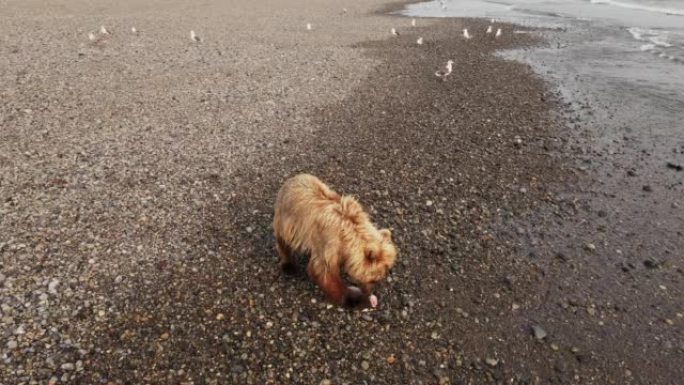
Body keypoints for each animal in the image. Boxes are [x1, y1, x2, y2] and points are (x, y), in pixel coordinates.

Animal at [276, 172, 398, 308]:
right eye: (373, 279)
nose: (370, 291)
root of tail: (293, 178)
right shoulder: (328, 242)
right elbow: (324, 272)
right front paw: (352, 298)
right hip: (288, 219)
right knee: (283, 241)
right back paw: (288, 265)